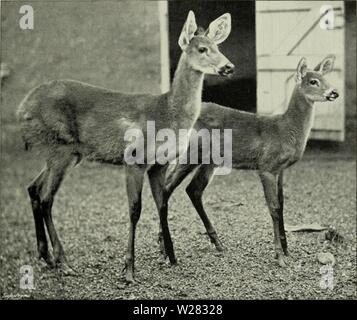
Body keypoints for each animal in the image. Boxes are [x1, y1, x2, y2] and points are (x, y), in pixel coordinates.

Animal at [16, 10, 234, 282]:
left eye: (218, 47)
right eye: (202, 49)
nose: (229, 67)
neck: (166, 114)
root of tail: (22, 108)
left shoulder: (159, 164)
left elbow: (162, 204)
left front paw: (171, 257)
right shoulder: (135, 158)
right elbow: (135, 209)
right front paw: (129, 269)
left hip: (68, 153)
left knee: (33, 189)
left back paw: (46, 257)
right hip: (60, 146)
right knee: (46, 198)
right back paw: (63, 262)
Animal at [152, 55, 338, 268]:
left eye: (325, 78)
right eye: (313, 81)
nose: (334, 92)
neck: (284, 130)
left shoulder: (281, 170)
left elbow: (282, 204)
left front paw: (286, 249)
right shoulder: (266, 166)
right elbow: (274, 208)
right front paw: (279, 256)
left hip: (210, 160)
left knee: (193, 189)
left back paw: (215, 243)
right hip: (191, 152)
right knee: (167, 188)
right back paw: (166, 250)